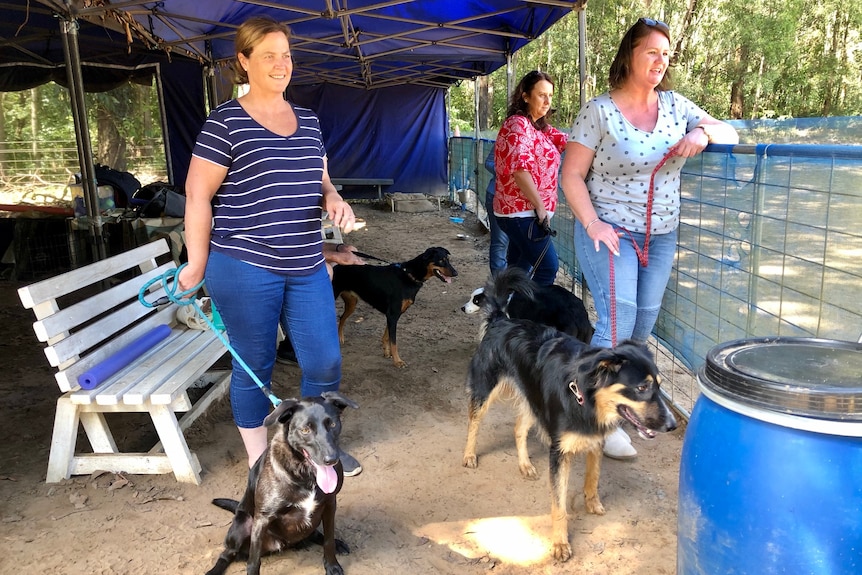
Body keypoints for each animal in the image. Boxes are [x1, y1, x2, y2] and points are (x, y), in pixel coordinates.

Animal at [205, 394, 358, 575]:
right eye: (305, 430)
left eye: (333, 424)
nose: (331, 459)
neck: (305, 475)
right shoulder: (262, 519)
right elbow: (253, 561)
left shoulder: (329, 504)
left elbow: (328, 540)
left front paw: (332, 566)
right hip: (241, 526)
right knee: (227, 554)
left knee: (316, 535)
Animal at [330, 245, 460, 366]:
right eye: (441, 260)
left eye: (448, 260)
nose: (456, 273)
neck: (409, 275)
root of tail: (336, 267)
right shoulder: (392, 315)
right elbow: (394, 342)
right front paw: (398, 361)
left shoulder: (393, 316)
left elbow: (386, 336)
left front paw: (387, 353)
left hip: (352, 303)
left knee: (342, 318)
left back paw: (340, 338)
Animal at [462, 274, 680, 564]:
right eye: (642, 388)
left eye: (659, 385)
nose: (672, 425)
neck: (588, 400)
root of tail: (501, 319)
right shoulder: (559, 453)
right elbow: (559, 505)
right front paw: (560, 544)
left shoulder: (596, 441)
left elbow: (593, 477)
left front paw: (593, 504)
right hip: (487, 388)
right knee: (474, 420)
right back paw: (469, 455)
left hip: (534, 399)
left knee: (519, 427)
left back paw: (525, 465)